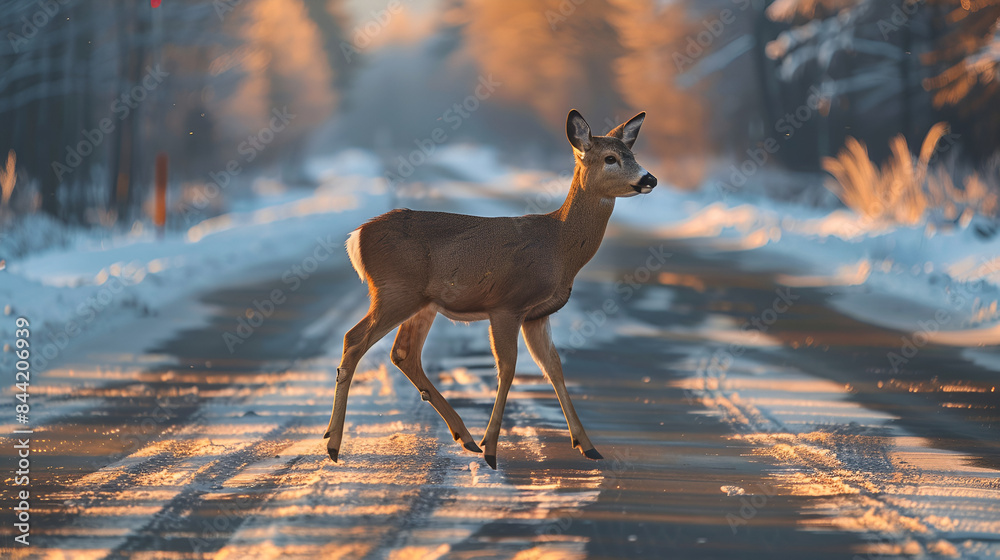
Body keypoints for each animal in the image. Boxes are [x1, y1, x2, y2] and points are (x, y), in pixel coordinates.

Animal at [323, 109, 657, 469]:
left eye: (632, 154)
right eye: (610, 158)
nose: (650, 179)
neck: (559, 245)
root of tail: (356, 237)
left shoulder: (537, 315)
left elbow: (553, 368)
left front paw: (588, 446)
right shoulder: (507, 305)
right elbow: (508, 368)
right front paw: (493, 449)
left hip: (422, 302)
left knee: (403, 353)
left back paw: (465, 437)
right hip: (395, 290)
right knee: (354, 340)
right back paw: (333, 445)